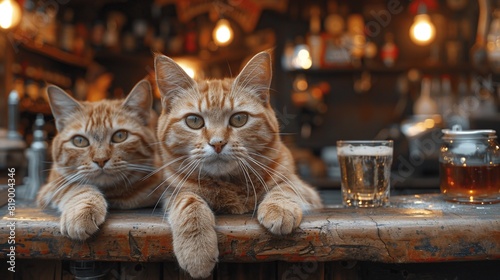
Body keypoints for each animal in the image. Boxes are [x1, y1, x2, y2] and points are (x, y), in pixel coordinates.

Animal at [37, 80, 162, 241]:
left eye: (120, 136)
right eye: (79, 141)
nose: (101, 160)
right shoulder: (52, 185)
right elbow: (76, 186)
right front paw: (81, 212)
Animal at [154, 50, 322, 278]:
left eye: (239, 119)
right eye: (194, 121)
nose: (217, 143)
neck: (230, 184)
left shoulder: (307, 190)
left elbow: (286, 186)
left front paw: (279, 208)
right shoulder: (173, 192)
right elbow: (189, 201)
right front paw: (196, 250)